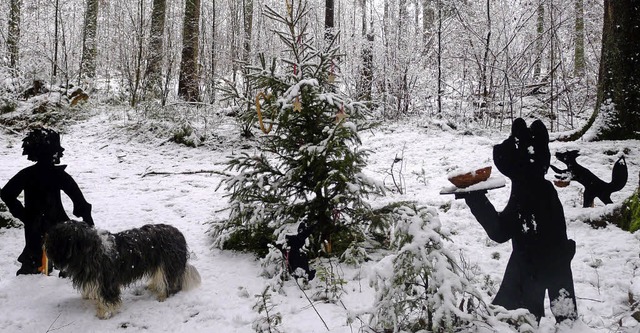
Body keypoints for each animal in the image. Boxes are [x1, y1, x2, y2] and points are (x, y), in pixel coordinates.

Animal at [44, 219, 200, 318]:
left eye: (57, 237)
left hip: (167, 265)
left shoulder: (107, 282)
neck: (90, 250)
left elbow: (107, 299)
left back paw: (163, 295)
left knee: (171, 282)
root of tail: (179, 234)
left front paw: (104, 313)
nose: (44, 242)